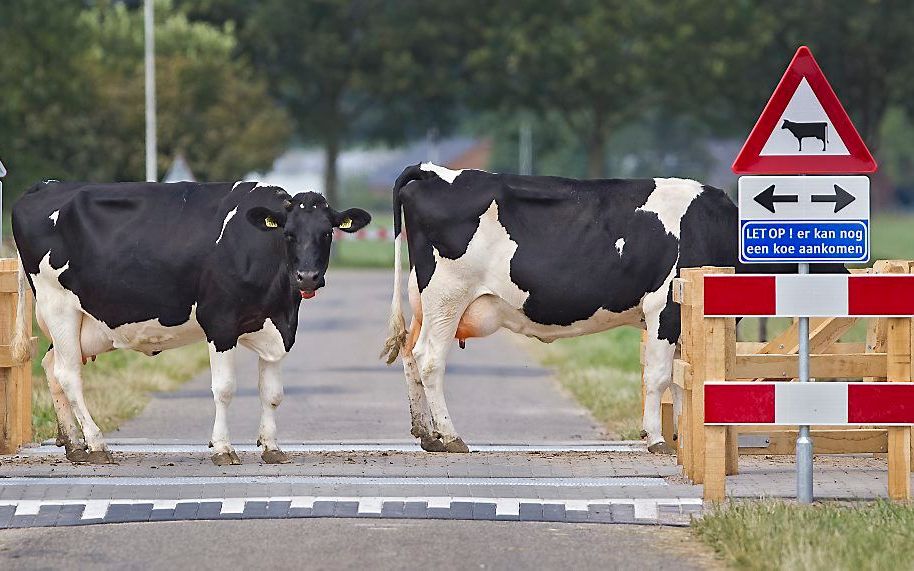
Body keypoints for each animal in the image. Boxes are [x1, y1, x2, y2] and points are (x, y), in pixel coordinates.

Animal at [12, 182, 368, 464]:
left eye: (327, 233)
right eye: (289, 234)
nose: (307, 277)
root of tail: (47, 185)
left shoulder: (277, 327)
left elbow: (272, 393)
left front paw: (271, 447)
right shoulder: (220, 322)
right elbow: (224, 388)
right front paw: (223, 448)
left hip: (87, 324)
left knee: (51, 366)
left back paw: (74, 445)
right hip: (58, 305)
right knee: (68, 374)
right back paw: (96, 444)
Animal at [382, 162, 836, 456]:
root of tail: (432, 170)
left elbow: (685, 378)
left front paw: (683, 438)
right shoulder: (664, 308)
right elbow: (660, 376)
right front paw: (658, 439)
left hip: (423, 302)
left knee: (409, 354)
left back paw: (426, 434)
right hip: (448, 296)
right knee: (429, 359)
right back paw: (450, 437)